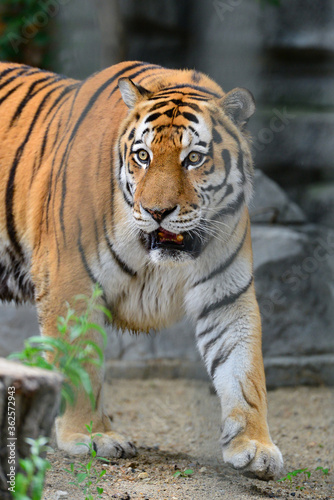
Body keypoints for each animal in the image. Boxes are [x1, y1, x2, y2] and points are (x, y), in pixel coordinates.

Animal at [0, 60, 282, 478]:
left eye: (193, 159)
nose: (156, 212)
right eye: (143, 156)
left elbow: (244, 370)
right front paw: (90, 436)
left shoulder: (227, 295)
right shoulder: (70, 284)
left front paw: (255, 445)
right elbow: (80, 361)